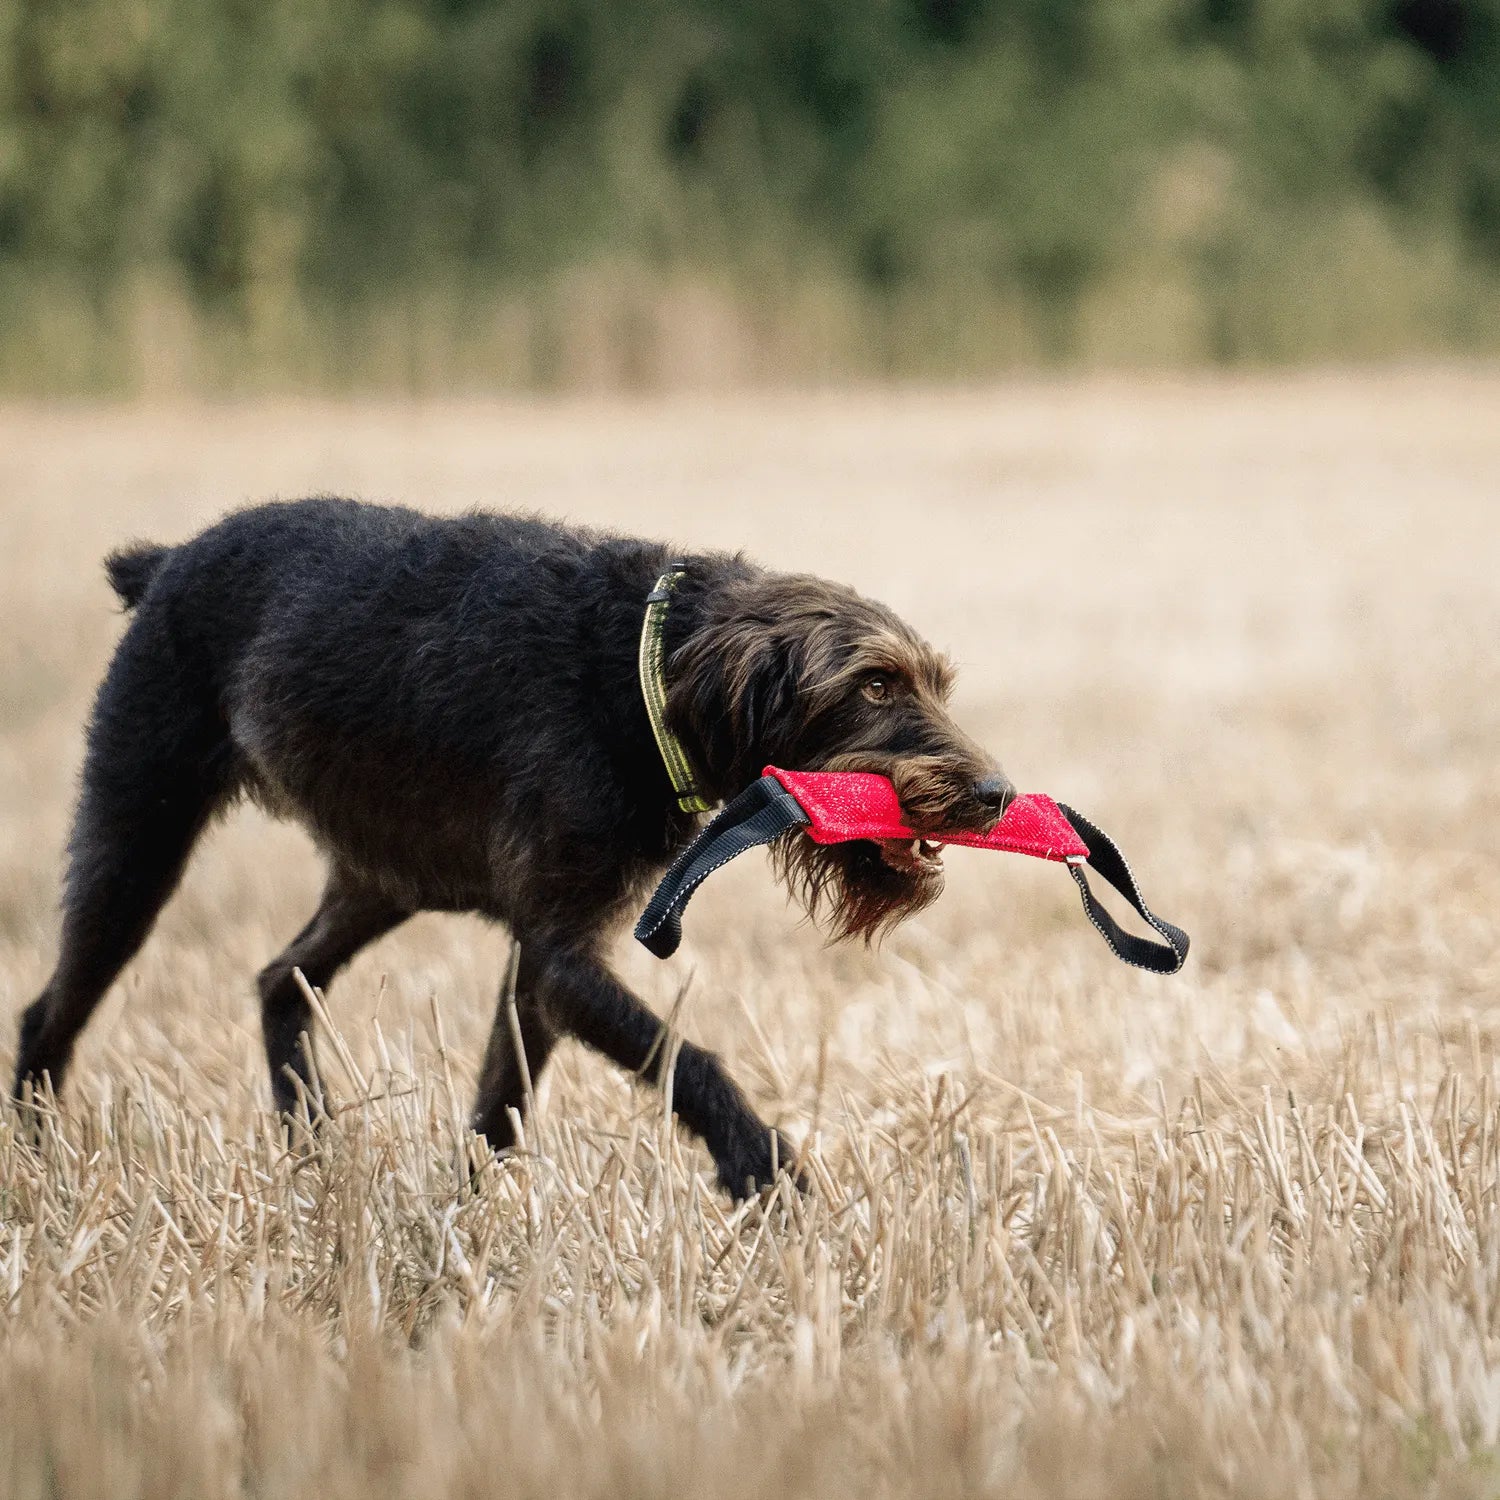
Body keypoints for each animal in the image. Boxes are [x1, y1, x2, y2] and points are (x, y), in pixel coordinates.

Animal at [11, 498, 1014, 1200]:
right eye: (874, 685)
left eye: (934, 685)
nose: (997, 795)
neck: (636, 672)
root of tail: (166, 563)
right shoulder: (564, 955)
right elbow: (685, 1056)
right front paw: (764, 1166)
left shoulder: (545, 965)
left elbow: (503, 1102)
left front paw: (469, 1219)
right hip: (134, 845)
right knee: (50, 1012)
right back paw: (37, 1161)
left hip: (382, 877)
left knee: (280, 979)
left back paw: (311, 1144)